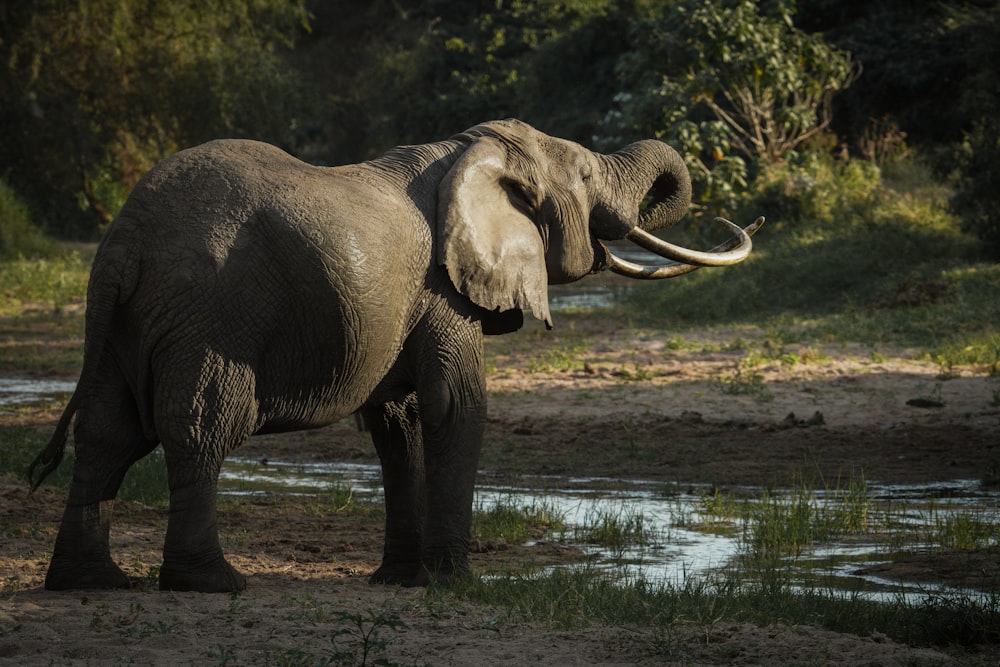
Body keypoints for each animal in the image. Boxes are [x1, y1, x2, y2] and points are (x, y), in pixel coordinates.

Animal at [27, 117, 760, 592]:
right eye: (584, 174)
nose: (739, 221)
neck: (467, 151)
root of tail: (124, 240)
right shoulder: (444, 289)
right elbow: (455, 407)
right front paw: (455, 583)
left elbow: (399, 421)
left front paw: (400, 579)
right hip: (209, 314)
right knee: (201, 429)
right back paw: (212, 583)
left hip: (127, 321)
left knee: (107, 434)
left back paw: (92, 582)